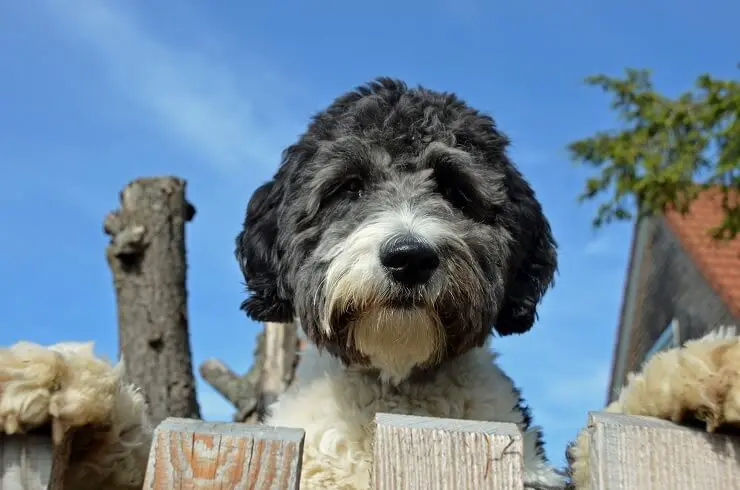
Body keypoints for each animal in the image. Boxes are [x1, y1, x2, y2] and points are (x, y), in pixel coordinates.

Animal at [1, 78, 740, 488]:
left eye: (456, 188)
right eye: (347, 188)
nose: (410, 256)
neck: (395, 394)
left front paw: (706, 372)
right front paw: (52, 380)